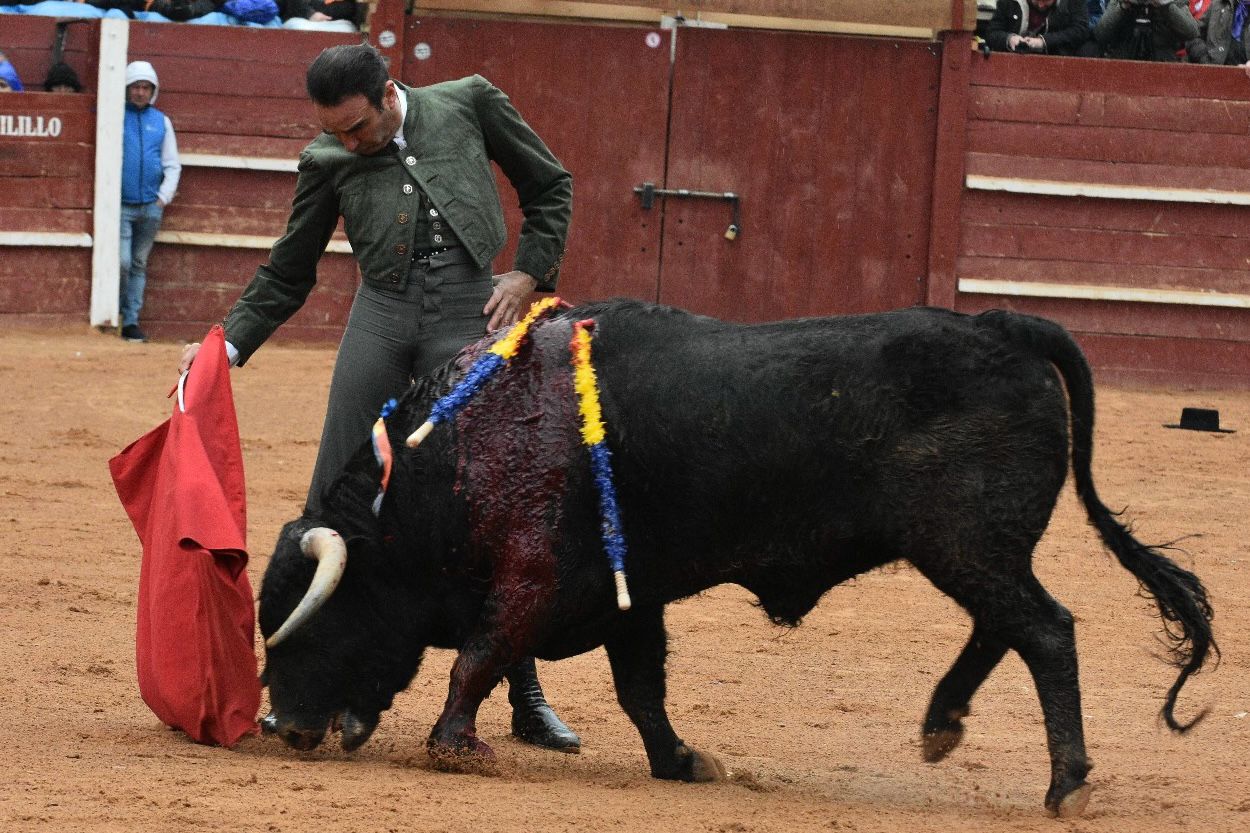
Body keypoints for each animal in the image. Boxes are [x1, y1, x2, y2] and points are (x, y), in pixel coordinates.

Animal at [258, 298, 1215, 810]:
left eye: (313, 620)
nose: (283, 727)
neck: (457, 450)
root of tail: (999, 325)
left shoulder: (534, 576)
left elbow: (480, 656)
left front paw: (455, 746)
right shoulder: (629, 595)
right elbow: (640, 687)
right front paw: (683, 761)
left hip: (970, 543)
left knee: (1044, 629)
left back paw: (1066, 784)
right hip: (972, 549)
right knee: (1002, 627)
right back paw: (943, 723)